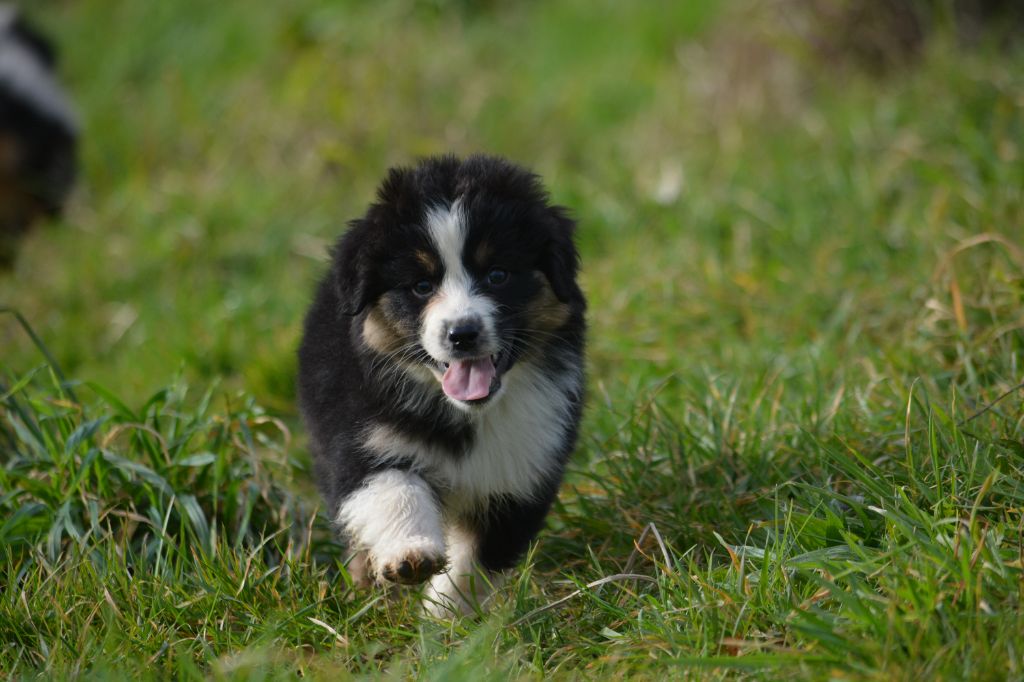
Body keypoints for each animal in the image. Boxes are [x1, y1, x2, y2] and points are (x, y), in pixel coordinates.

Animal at [296, 155, 585, 614]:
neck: (465, 414)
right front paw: (410, 556)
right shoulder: (360, 436)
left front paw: (445, 617)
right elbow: (393, 488)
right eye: (421, 286)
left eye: (498, 275)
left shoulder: (524, 470)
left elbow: (475, 559)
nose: (462, 334)